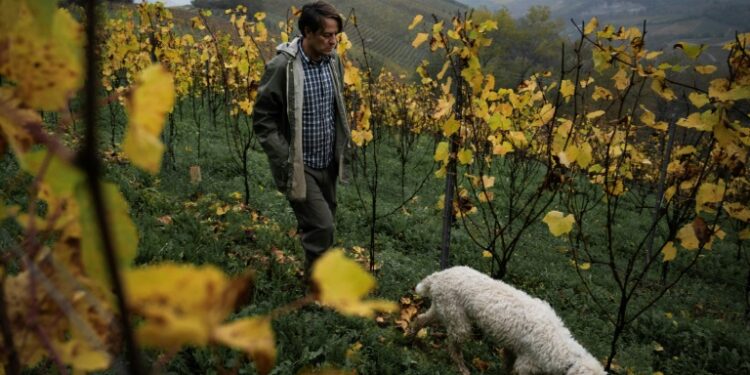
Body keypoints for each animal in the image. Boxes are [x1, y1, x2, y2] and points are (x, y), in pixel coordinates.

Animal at [414, 266, 608, 374]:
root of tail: (438, 276)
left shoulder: (512, 350)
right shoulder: (525, 365)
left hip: (443, 309)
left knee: (419, 319)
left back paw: (412, 337)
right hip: (459, 322)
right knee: (454, 349)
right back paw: (462, 369)